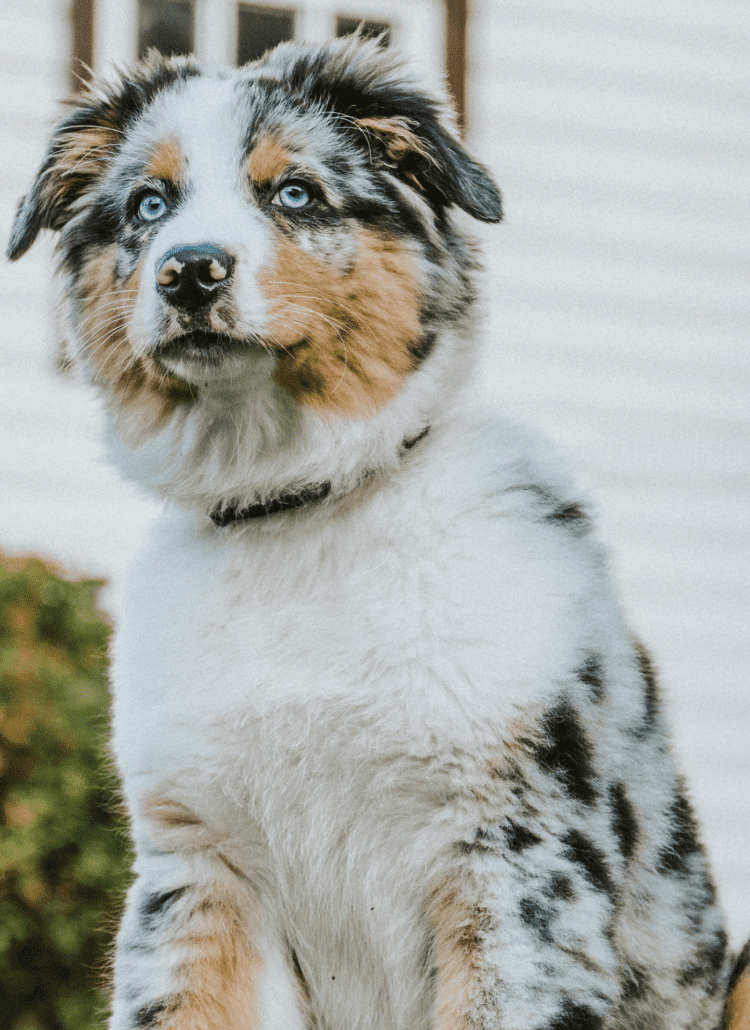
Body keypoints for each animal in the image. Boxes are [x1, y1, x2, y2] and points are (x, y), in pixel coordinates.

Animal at [7, 36, 745, 1030]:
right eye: (148, 207)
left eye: (296, 193)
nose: (189, 270)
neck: (293, 506)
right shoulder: (202, 868)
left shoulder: (514, 858)